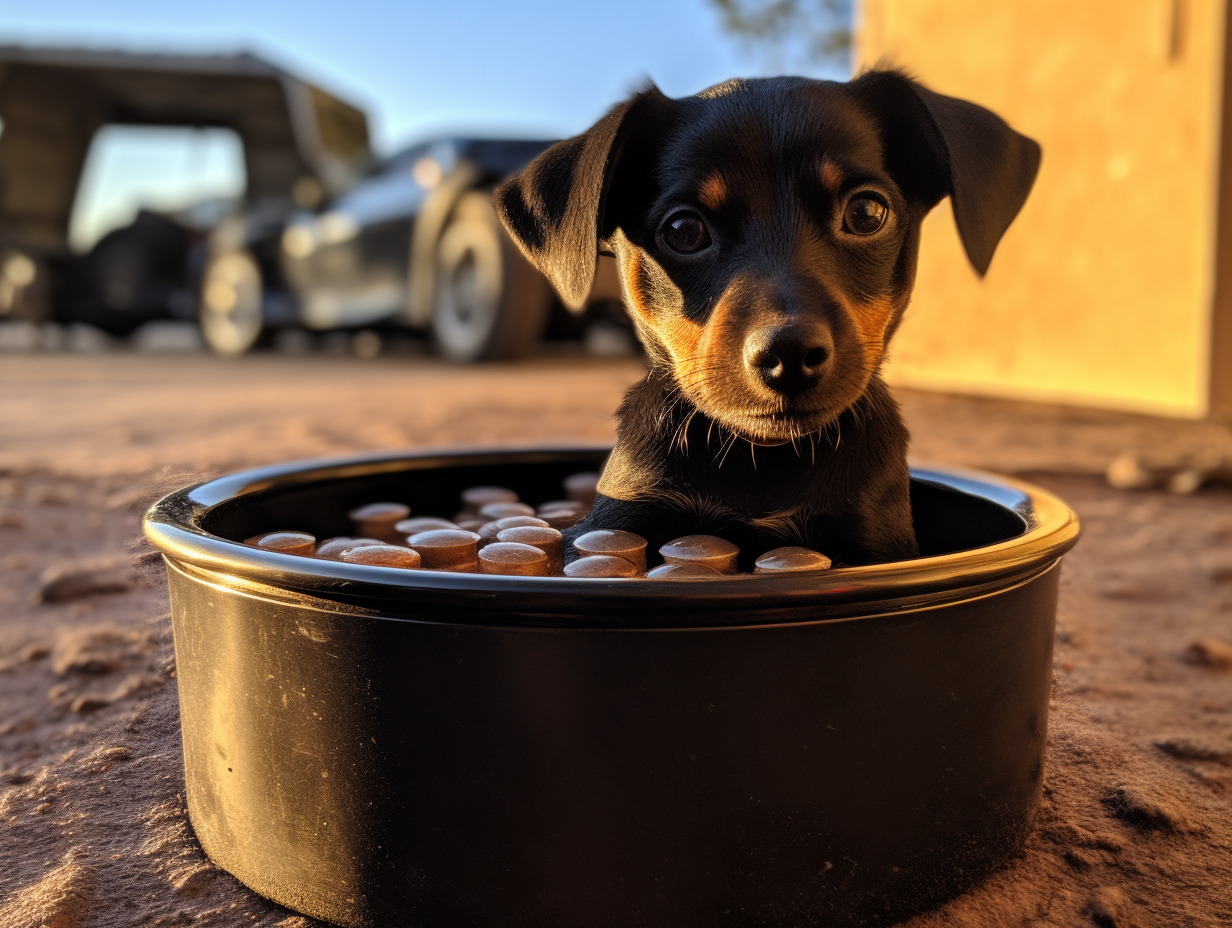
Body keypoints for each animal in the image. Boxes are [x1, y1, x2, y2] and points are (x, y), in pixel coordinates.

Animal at [490, 70, 1039, 564]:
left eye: (866, 213)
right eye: (683, 230)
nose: (789, 354)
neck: (764, 460)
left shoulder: (873, 535)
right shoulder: (619, 517)